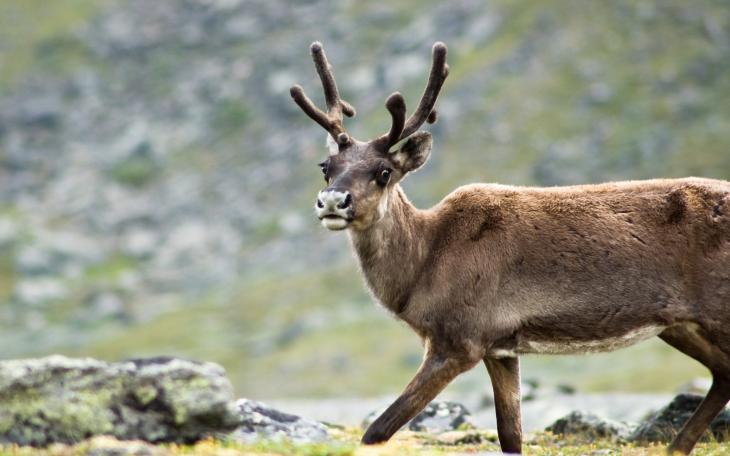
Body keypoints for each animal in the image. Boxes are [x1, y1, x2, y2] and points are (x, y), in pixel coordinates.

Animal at [289, 41, 730, 455]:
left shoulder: (459, 340)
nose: (332, 201)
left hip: (715, 313)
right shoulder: (501, 347)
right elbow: (511, 435)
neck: (424, 262)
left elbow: (377, 430)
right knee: (723, 373)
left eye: (384, 171)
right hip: (680, 324)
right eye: (326, 168)